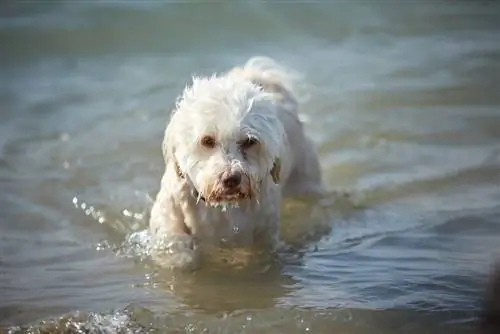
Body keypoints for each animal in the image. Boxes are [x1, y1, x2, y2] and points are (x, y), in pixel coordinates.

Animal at [148, 55, 324, 268]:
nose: (231, 178)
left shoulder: (263, 230)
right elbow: (172, 241)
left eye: (250, 141)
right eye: (207, 140)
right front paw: (182, 259)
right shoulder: (169, 212)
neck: (221, 207)